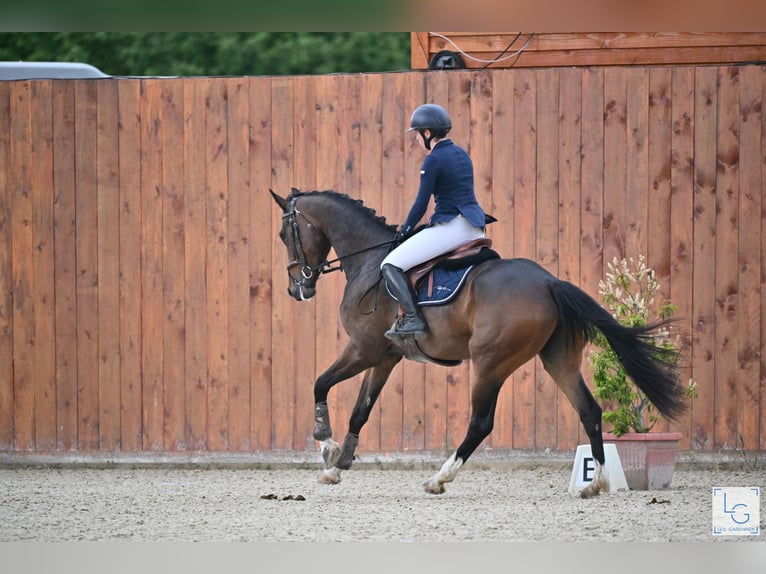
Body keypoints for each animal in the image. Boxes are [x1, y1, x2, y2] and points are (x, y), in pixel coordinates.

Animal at [272, 189, 688, 500]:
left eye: (284, 235)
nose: (297, 289)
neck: (371, 260)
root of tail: (549, 282)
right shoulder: (385, 357)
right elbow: (361, 410)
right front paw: (338, 467)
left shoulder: (363, 350)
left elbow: (320, 384)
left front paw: (325, 444)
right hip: (558, 360)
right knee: (589, 410)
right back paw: (596, 482)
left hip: (490, 362)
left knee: (481, 423)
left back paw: (439, 479)